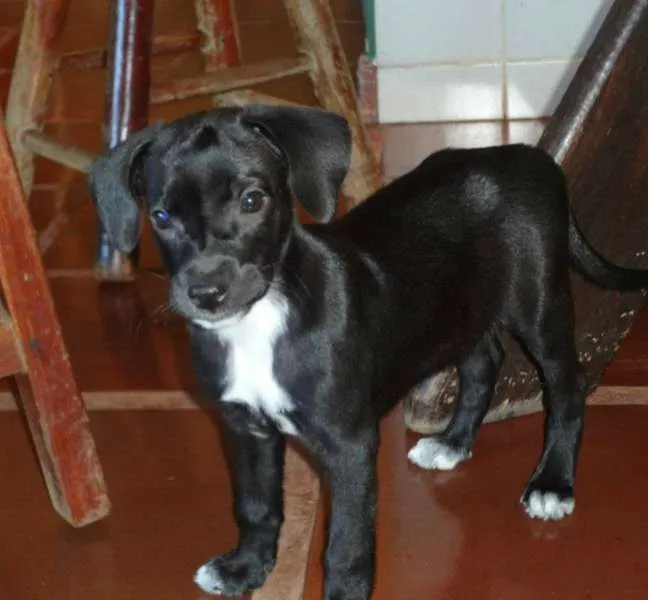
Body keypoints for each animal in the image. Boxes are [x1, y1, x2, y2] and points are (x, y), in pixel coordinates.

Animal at [89, 105, 648, 600]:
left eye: (252, 201)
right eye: (161, 216)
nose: (205, 292)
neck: (262, 322)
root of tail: (526, 154)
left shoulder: (350, 445)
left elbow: (347, 544)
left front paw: (343, 592)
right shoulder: (245, 428)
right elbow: (256, 505)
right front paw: (245, 569)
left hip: (539, 306)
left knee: (568, 389)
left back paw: (553, 482)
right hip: (457, 312)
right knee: (483, 363)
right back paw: (453, 442)